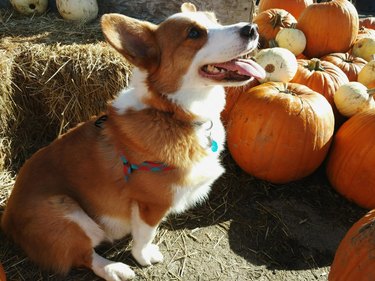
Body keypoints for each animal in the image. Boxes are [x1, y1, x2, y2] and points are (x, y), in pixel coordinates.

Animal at [0, 2, 264, 280]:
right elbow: (145, 236)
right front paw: (144, 257)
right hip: (65, 211)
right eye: (193, 33)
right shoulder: (151, 204)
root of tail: (6, 219)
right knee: (84, 255)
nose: (252, 29)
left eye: (216, 20)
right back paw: (114, 268)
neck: (170, 113)